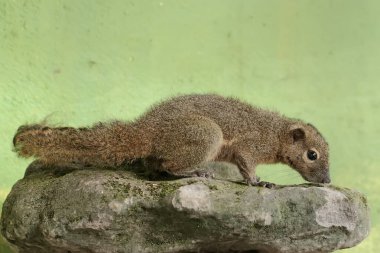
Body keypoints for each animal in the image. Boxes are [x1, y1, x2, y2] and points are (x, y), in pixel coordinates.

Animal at [12, 94, 330, 187]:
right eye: (312, 155)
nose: (327, 180)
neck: (275, 132)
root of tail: (147, 129)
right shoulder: (249, 147)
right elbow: (247, 167)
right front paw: (258, 182)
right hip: (207, 135)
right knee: (169, 165)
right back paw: (195, 172)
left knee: (156, 165)